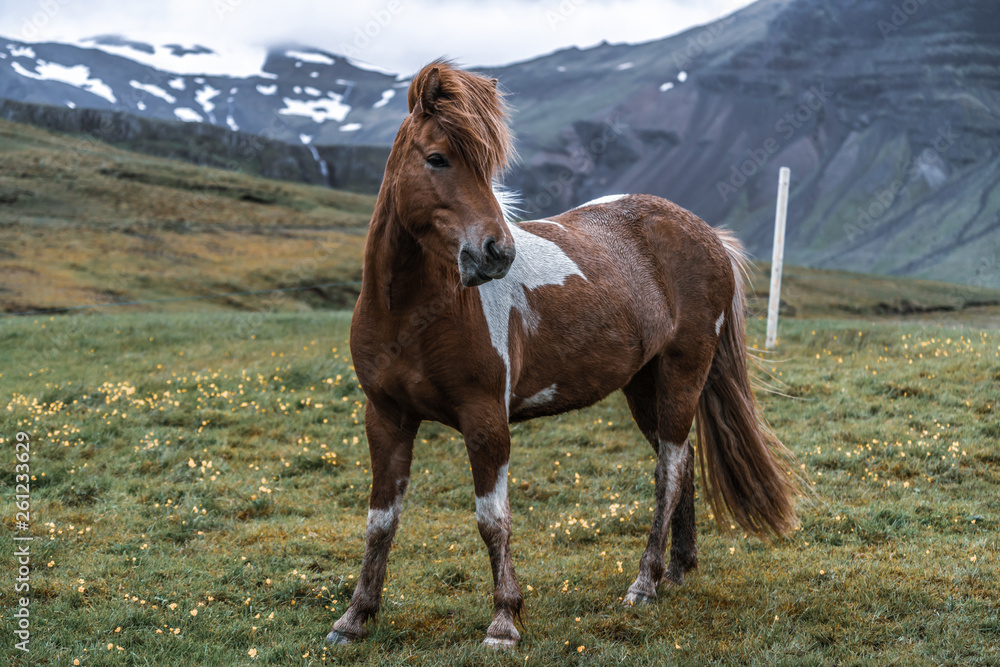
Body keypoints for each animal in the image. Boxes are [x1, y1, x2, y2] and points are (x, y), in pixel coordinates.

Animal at [328, 61, 804, 648]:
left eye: (489, 166)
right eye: (437, 158)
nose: (497, 253)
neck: (413, 313)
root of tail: (707, 234)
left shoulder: (485, 420)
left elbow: (493, 520)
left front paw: (504, 621)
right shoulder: (386, 417)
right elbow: (381, 520)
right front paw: (355, 616)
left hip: (682, 373)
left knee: (669, 470)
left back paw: (644, 583)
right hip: (643, 385)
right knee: (685, 461)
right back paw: (677, 570)